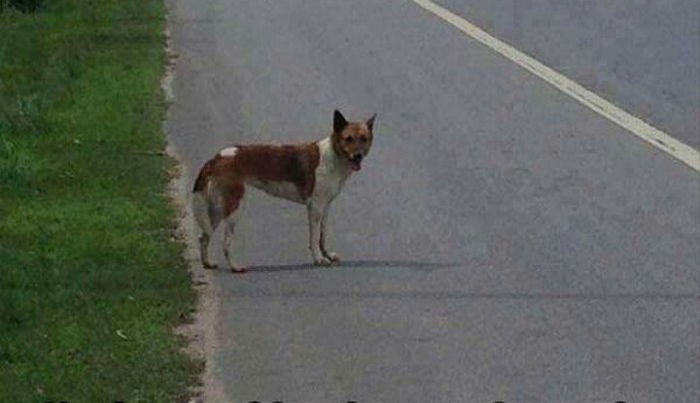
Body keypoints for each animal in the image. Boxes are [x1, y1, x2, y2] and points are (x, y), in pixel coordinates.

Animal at [191, 110, 374, 274]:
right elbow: (314, 238)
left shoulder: (325, 207)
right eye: (348, 139)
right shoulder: (315, 208)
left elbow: (322, 236)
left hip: (217, 211)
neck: (334, 156)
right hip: (234, 209)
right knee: (226, 243)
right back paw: (235, 267)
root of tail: (217, 157)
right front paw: (318, 259)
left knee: (203, 237)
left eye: (363, 139)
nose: (358, 156)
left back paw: (207, 263)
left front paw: (326, 255)